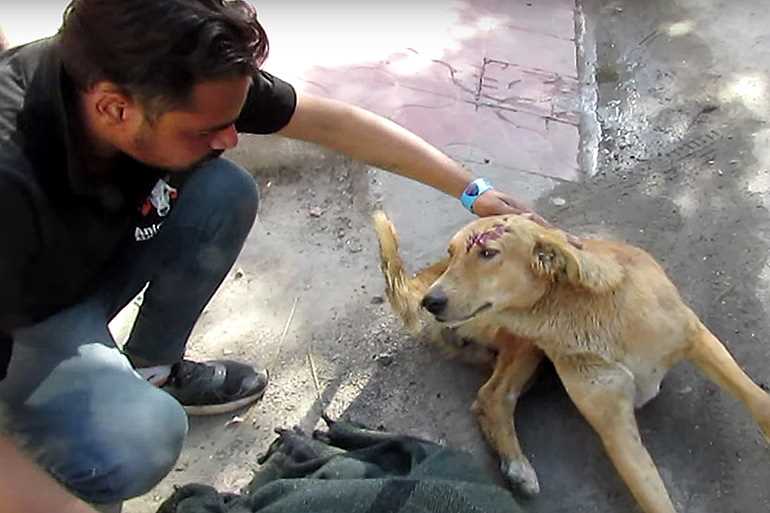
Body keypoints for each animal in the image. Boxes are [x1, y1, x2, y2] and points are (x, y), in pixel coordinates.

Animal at [372, 209, 768, 512]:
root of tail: (426, 275)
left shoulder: (696, 337)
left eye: (488, 253)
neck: (586, 315)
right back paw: (517, 466)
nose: (431, 301)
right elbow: (654, 499)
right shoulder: (614, 427)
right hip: (526, 344)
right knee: (492, 396)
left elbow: (756, 398)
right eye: (453, 253)